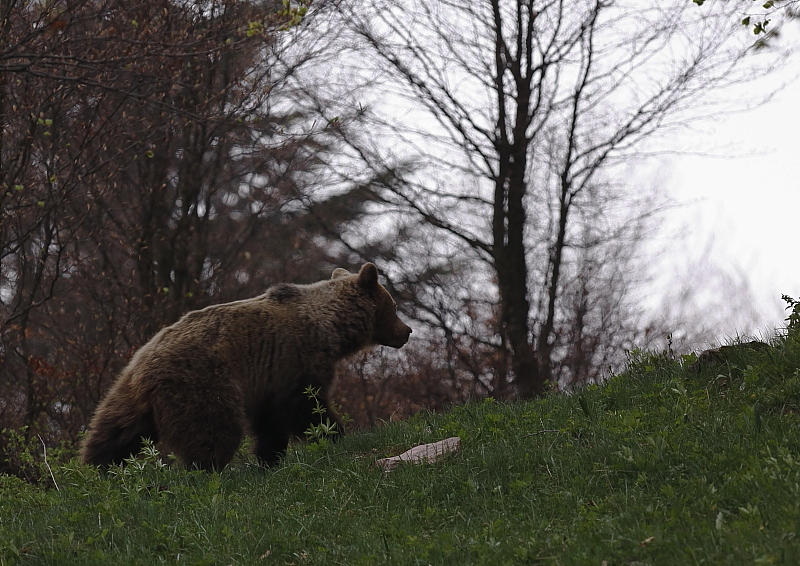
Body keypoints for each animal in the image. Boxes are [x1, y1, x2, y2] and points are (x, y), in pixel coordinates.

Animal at [79, 264, 412, 472]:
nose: (407, 331)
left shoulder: (271, 378)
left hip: (126, 391)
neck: (332, 328)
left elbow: (271, 421)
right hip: (201, 381)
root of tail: (145, 365)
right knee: (214, 428)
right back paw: (208, 469)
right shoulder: (298, 360)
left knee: (115, 431)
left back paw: (98, 468)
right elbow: (305, 407)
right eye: (394, 306)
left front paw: (270, 457)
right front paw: (334, 434)